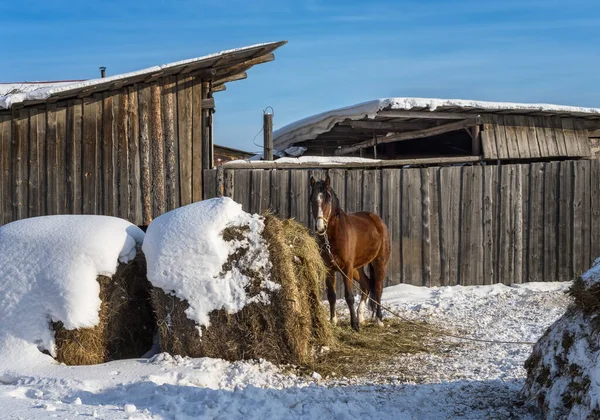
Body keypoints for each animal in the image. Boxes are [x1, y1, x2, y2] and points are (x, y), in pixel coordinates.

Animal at [312, 175, 392, 332]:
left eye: (327, 200)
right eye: (313, 200)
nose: (320, 227)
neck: (334, 233)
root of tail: (378, 220)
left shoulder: (346, 267)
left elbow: (349, 296)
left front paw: (354, 324)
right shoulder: (329, 268)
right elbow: (331, 295)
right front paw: (333, 321)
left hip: (378, 262)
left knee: (378, 288)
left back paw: (378, 320)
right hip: (357, 268)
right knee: (366, 284)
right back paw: (361, 317)